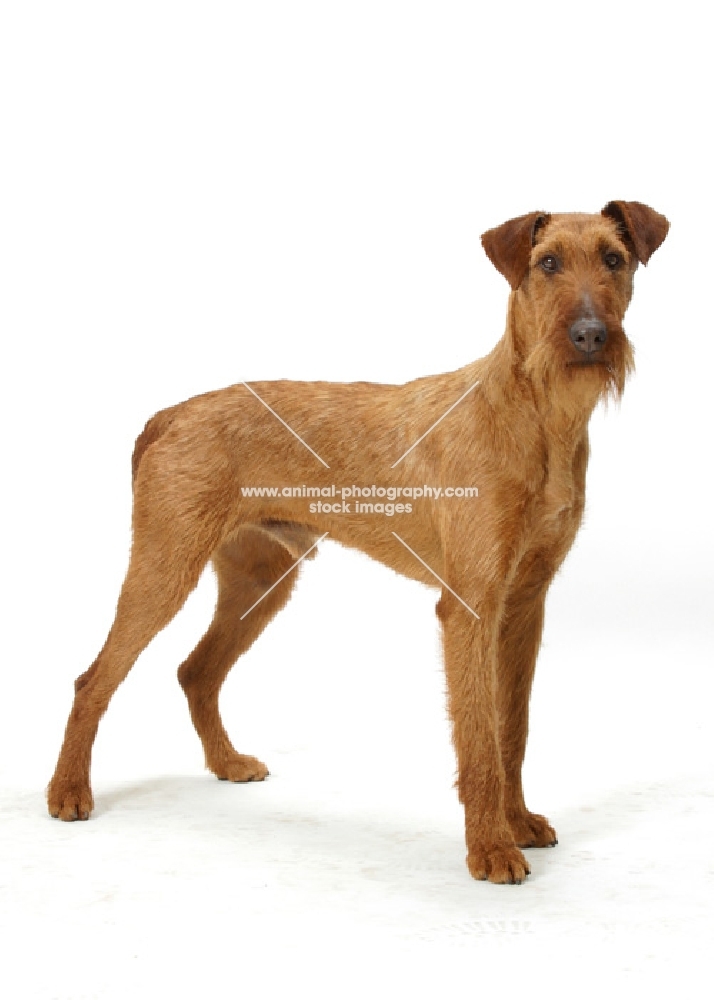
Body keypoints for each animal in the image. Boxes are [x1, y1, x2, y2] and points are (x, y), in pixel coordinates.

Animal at [48, 201, 668, 884]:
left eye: (614, 259)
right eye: (547, 263)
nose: (589, 335)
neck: (535, 418)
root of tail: (171, 414)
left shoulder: (525, 605)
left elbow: (514, 728)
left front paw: (519, 822)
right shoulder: (471, 608)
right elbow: (479, 737)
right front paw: (490, 848)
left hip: (261, 581)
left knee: (196, 671)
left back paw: (227, 763)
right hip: (165, 569)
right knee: (93, 680)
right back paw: (68, 792)